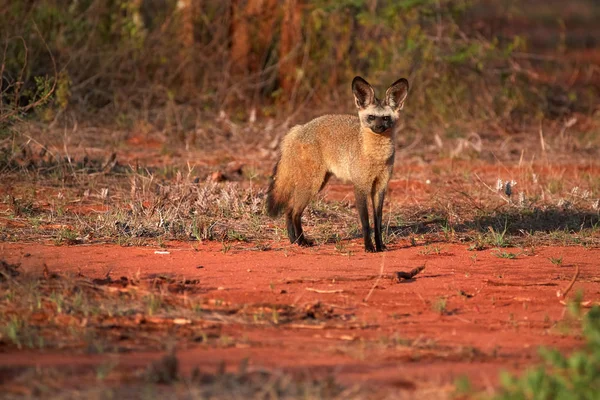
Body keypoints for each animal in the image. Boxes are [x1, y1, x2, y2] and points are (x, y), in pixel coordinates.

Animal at [266, 76, 408, 252]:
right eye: (371, 117)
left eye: (386, 118)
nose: (378, 127)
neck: (376, 157)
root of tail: (299, 128)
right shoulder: (360, 186)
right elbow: (366, 222)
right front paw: (369, 247)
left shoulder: (380, 186)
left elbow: (378, 222)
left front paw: (380, 246)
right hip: (312, 184)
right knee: (294, 212)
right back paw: (302, 241)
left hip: (318, 182)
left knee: (288, 209)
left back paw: (294, 240)